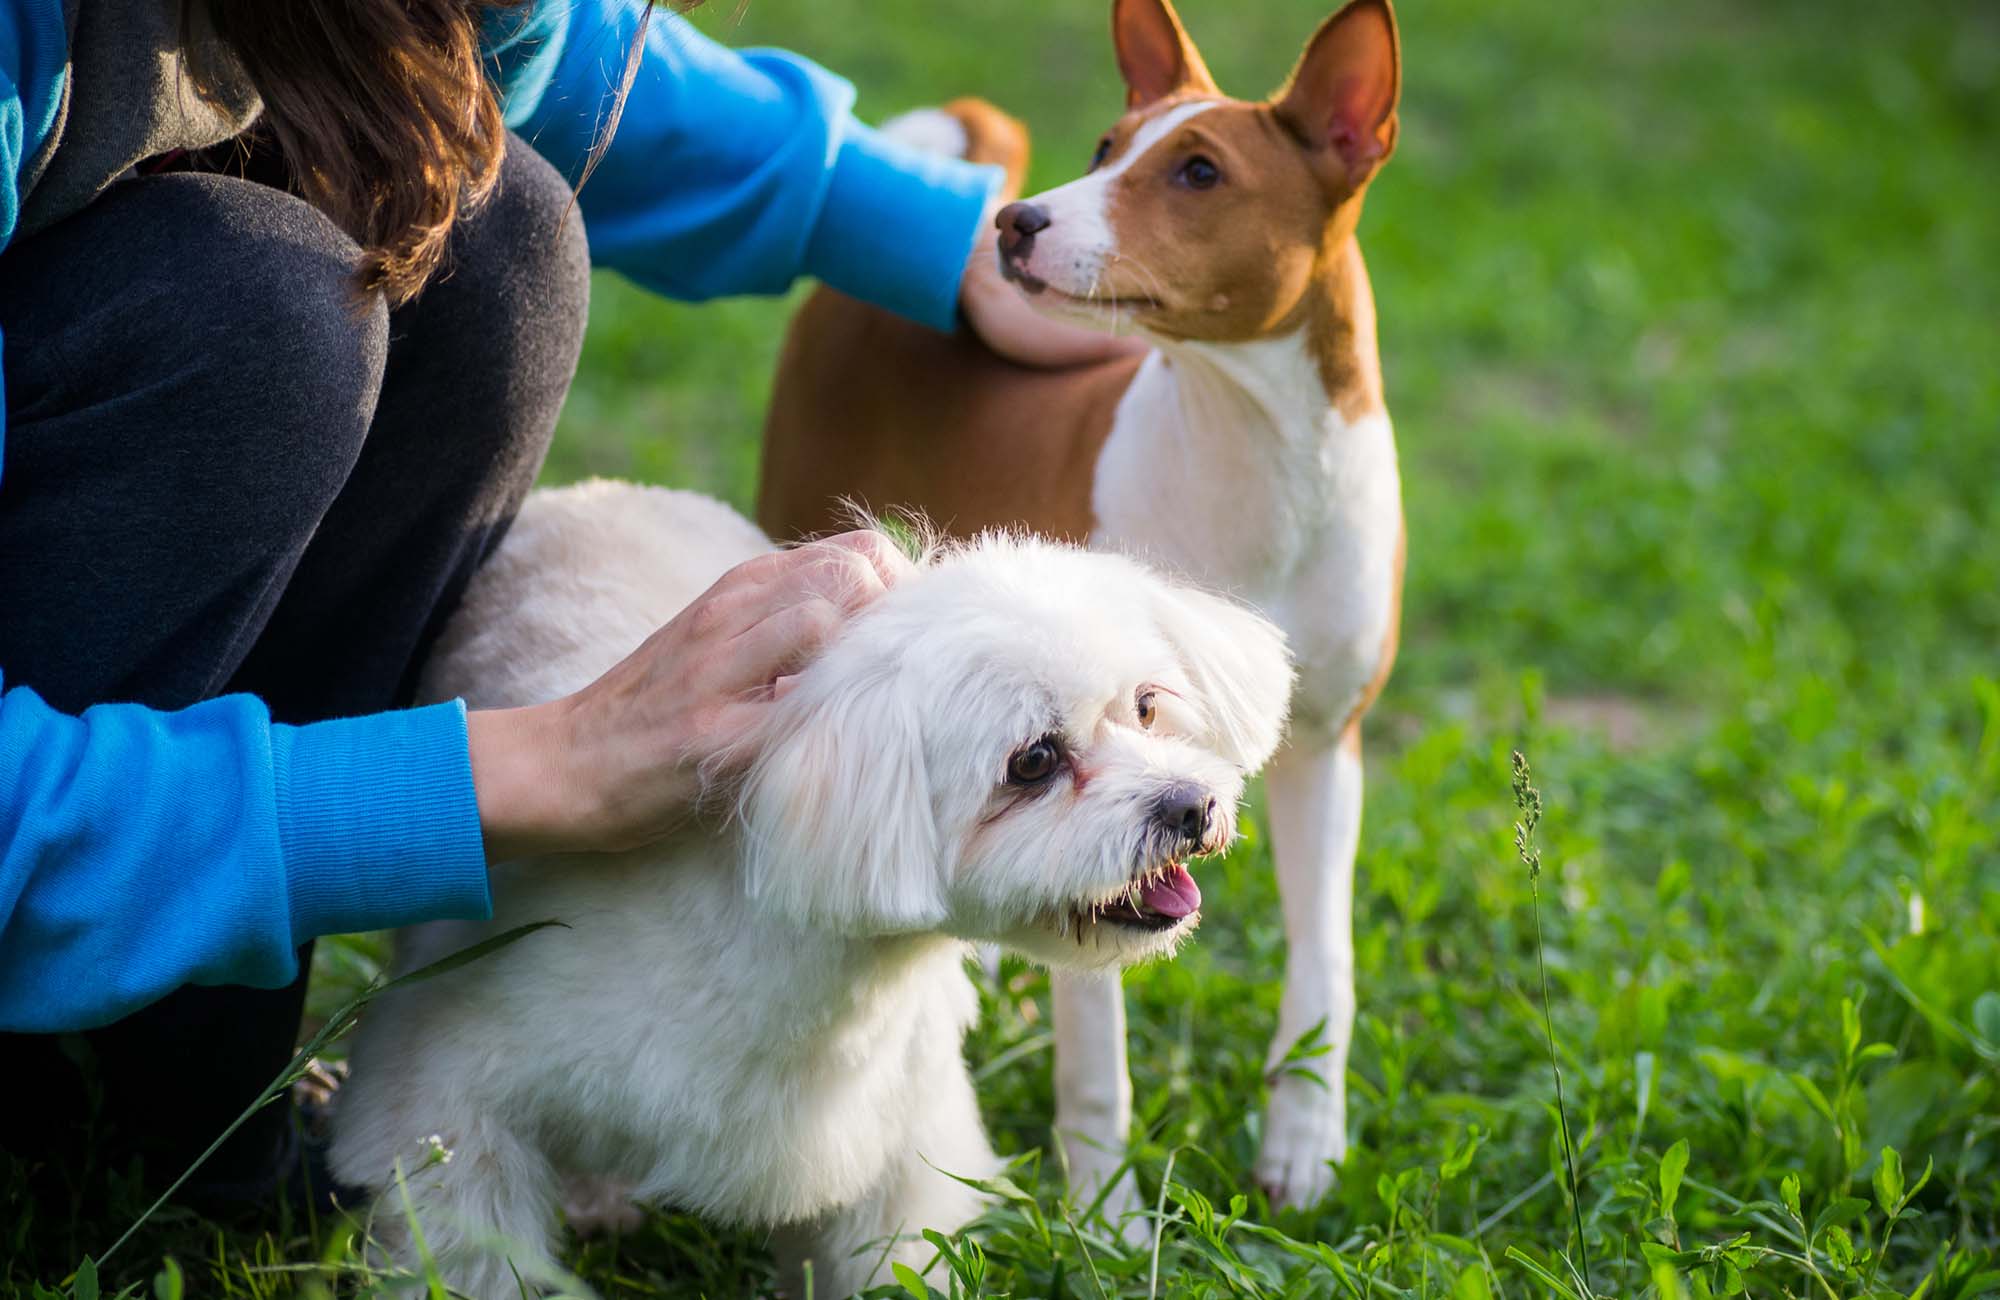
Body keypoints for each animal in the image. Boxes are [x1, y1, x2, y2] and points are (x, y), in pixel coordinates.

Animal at [328, 480, 1296, 1288]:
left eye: (1147, 705)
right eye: (1033, 762)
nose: (1192, 805)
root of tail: (594, 490)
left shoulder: (893, 1165)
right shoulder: (447, 1109)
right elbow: (475, 1250)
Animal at [756, 0, 1400, 1208]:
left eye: (1198, 171)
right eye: (1107, 147)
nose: (1016, 223)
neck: (1253, 466)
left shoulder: (1323, 748)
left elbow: (1323, 968)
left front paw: (1305, 1140)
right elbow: (1097, 1047)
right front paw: (1104, 1214)